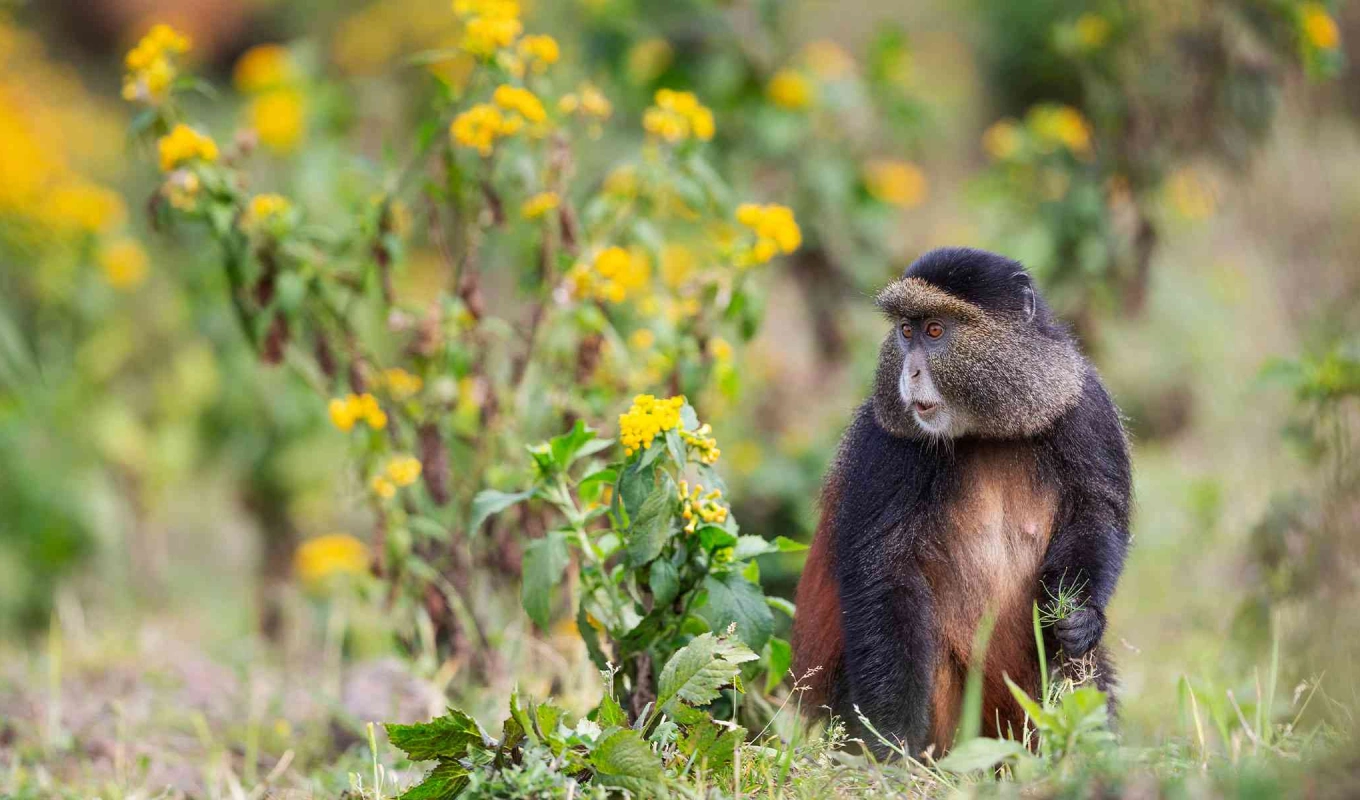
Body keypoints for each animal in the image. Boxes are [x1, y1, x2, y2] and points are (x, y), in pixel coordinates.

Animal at [791, 247, 1131, 757]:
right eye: (905, 331)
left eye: (935, 331)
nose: (909, 373)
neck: (984, 429)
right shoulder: (885, 442)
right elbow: (885, 574)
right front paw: (891, 748)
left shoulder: (1084, 405)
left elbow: (1097, 514)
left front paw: (1081, 618)